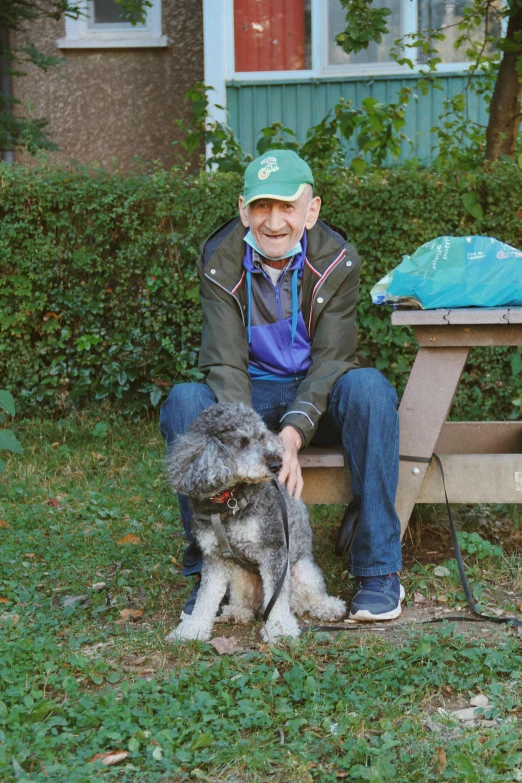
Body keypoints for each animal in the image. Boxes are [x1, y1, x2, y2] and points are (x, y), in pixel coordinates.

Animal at [166, 404, 346, 644]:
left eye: (261, 437)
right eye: (242, 441)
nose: (276, 464)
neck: (228, 501)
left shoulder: (274, 548)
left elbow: (278, 599)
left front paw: (280, 628)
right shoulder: (215, 557)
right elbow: (206, 598)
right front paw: (191, 629)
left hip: (302, 572)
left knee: (309, 598)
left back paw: (328, 607)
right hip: (240, 577)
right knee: (249, 605)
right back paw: (237, 612)